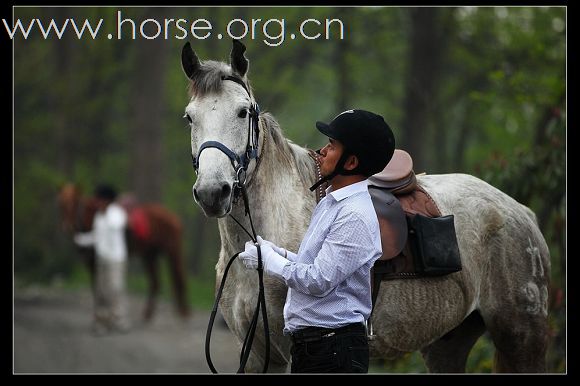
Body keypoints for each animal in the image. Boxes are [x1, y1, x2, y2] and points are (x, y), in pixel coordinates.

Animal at [56, 182, 189, 322]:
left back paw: (183, 313)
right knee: (155, 282)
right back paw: (147, 314)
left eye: (74, 202)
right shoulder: (91, 263)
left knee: (179, 278)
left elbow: (99, 289)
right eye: (60, 203)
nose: (67, 226)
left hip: (173, 251)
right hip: (149, 254)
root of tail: (174, 218)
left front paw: (101, 315)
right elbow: (97, 287)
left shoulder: (94, 262)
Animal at [180, 40, 548, 372]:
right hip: (447, 344)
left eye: (243, 112)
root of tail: (520, 212)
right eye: (189, 118)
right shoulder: (260, 355)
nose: (213, 192)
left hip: (521, 339)